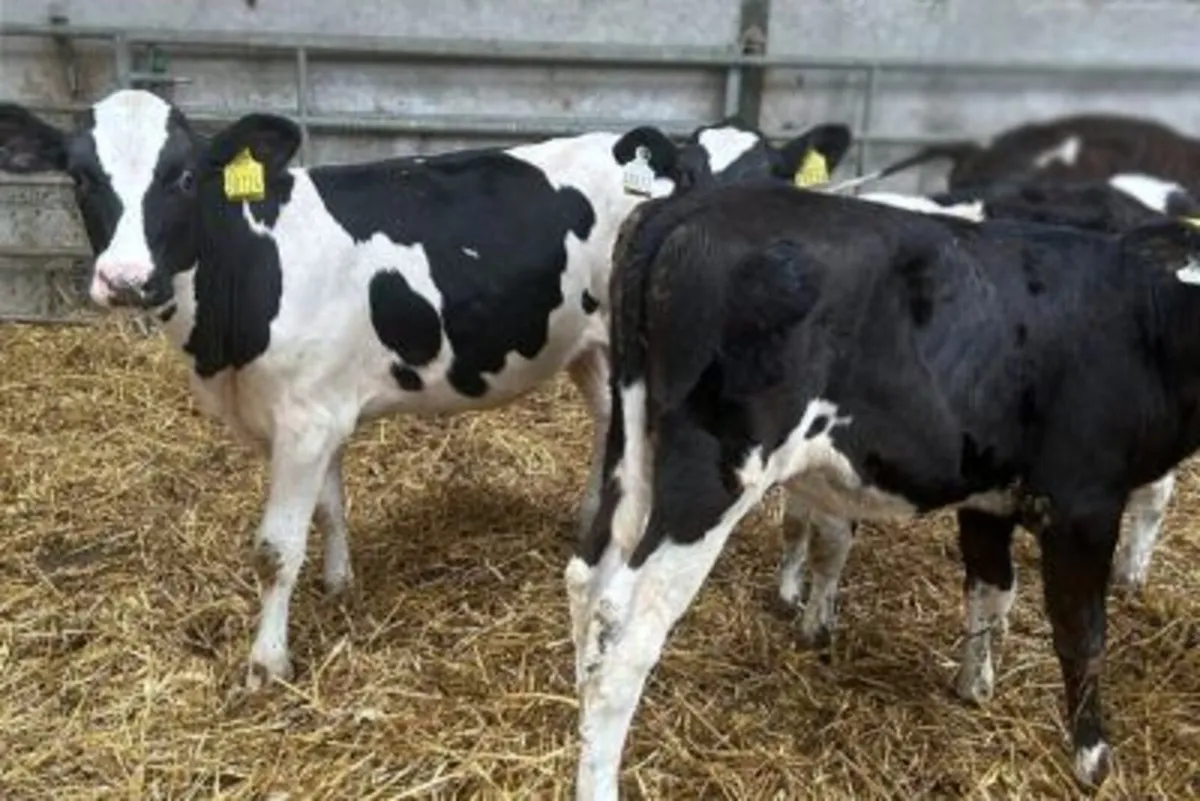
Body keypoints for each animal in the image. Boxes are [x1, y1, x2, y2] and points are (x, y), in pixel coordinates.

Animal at [0, 87, 853, 689]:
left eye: (181, 176)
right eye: (81, 177)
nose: (126, 280)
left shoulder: (303, 420)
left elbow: (274, 549)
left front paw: (266, 662)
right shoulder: (319, 408)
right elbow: (332, 506)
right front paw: (340, 581)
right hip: (593, 356)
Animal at [567, 178, 1200, 798]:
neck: (1145, 326)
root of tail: (686, 206)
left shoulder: (989, 495)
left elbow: (992, 588)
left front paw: (974, 685)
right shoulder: (1083, 504)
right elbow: (1082, 633)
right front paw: (1093, 759)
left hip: (630, 447)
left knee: (588, 582)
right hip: (713, 481)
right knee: (625, 641)